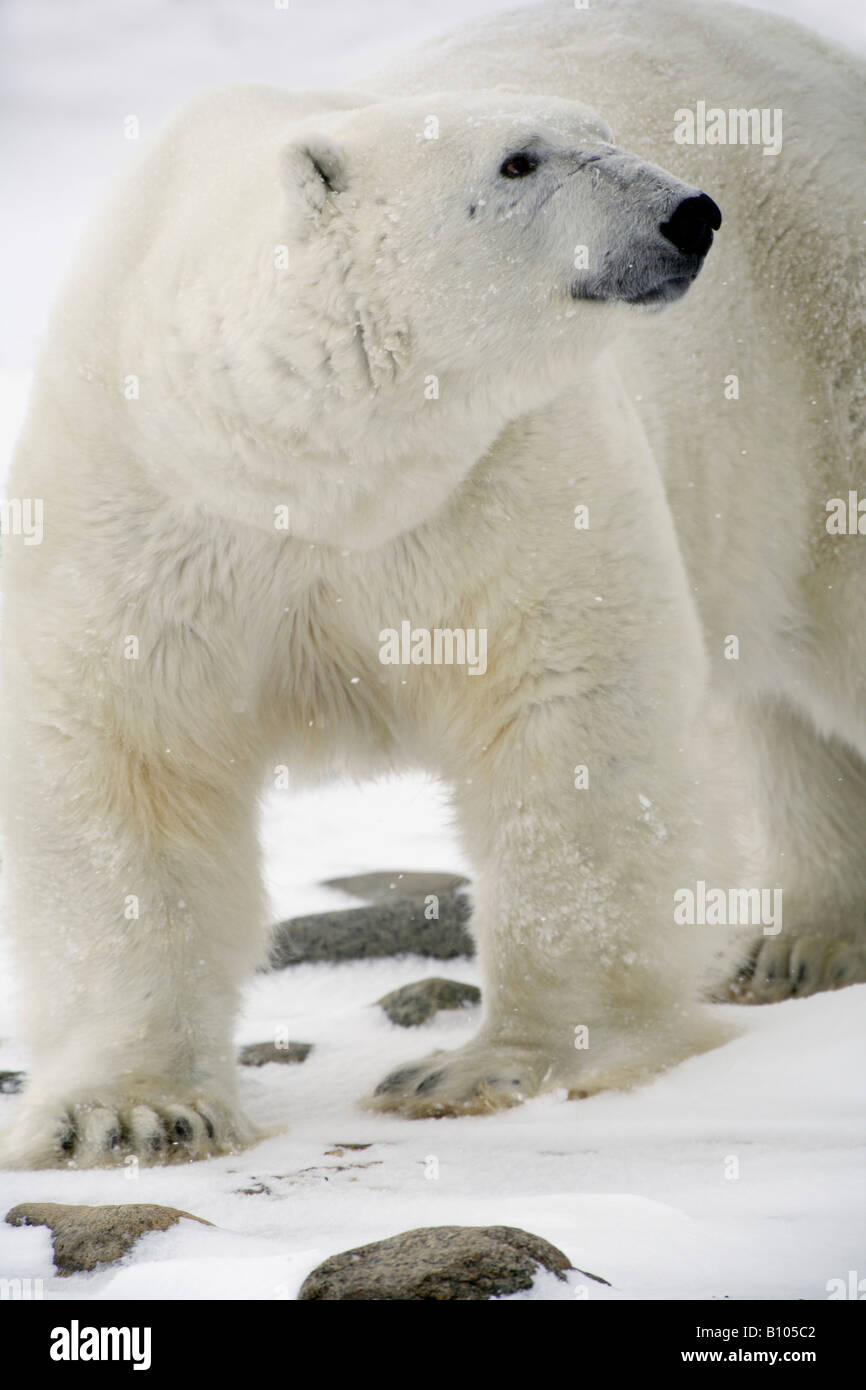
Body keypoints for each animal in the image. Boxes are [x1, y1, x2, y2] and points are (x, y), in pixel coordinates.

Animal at [1, 0, 864, 1168]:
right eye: (517, 160)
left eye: (602, 130)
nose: (690, 213)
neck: (313, 461)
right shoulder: (148, 503)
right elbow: (123, 767)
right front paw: (131, 1112)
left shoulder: (506, 473)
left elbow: (575, 722)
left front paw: (489, 1066)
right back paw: (803, 943)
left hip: (823, 358)